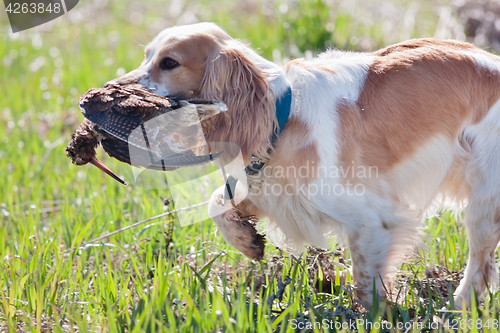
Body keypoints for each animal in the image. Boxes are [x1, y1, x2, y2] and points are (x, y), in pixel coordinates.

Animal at [107, 22, 500, 306]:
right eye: (146, 57)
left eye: (169, 63)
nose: (111, 87)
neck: (281, 115)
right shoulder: (267, 188)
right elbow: (217, 203)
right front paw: (248, 241)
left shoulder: (371, 218)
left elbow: (365, 285)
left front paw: (376, 315)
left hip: (484, 202)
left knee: (479, 262)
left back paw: (458, 306)